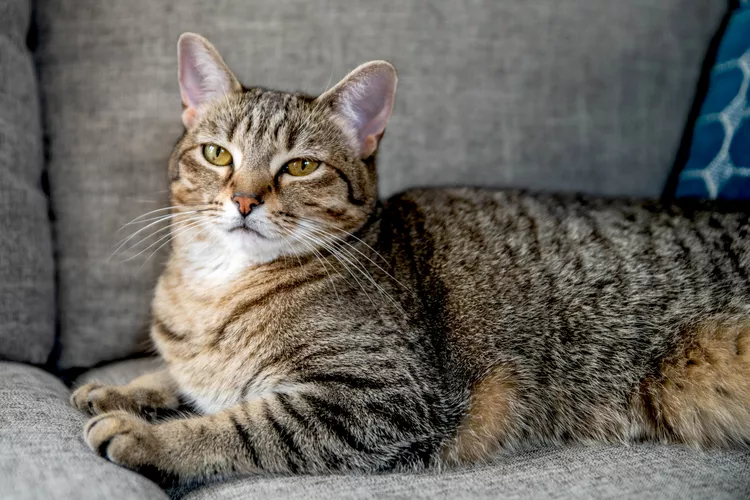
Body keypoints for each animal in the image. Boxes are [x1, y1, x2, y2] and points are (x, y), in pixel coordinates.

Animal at [72, 32, 750, 484]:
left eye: (300, 166)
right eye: (217, 155)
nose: (244, 199)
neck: (212, 290)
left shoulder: (382, 399)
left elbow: (243, 425)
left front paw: (149, 438)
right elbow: (179, 376)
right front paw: (123, 388)